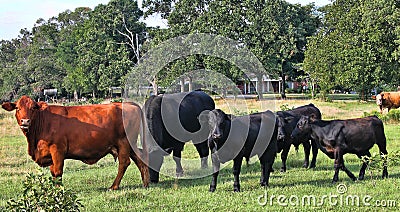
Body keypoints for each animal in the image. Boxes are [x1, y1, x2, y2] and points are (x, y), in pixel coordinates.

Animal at [1, 95, 148, 190]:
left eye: (33, 108)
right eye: (17, 108)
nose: (25, 121)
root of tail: (127, 104)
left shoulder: (57, 150)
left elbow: (57, 172)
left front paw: (58, 192)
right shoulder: (51, 154)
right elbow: (53, 172)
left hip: (123, 142)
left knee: (124, 163)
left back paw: (114, 186)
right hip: (129, 145)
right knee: (140, 159)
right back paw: (145, 183)